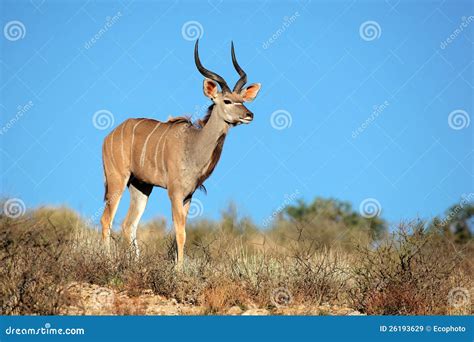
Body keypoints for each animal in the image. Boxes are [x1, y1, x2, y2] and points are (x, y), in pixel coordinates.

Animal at [101, 38, 262, 266]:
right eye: (227, 101)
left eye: (243, 100)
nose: (249, 114)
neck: (193, 145)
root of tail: (109, 136)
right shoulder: (175, 193)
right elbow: (180, 232)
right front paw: (179, 269)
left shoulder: (188, 195)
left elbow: (183, 231)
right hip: (117, 179)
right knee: (106, 219)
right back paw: (107, 261)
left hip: (141, 186)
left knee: (128, 224)